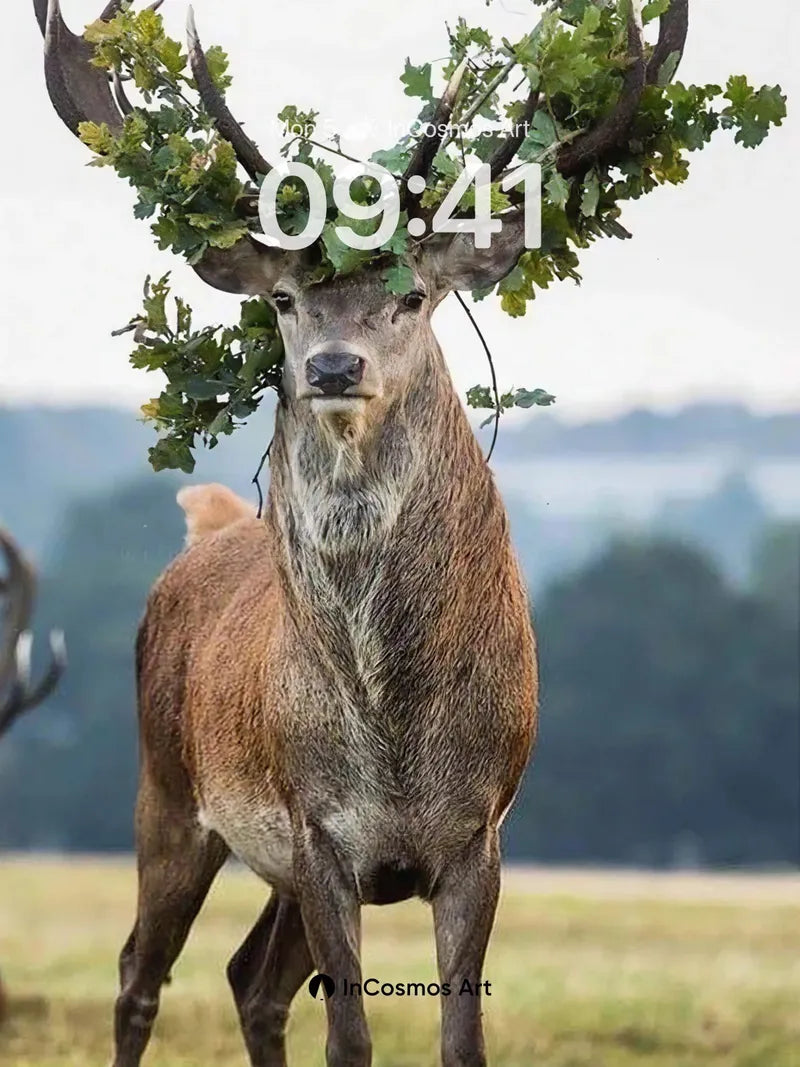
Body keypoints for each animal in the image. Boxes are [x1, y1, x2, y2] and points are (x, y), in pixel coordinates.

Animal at [32, 2, 688, 1065]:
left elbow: (460, 1039)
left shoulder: (478, 832)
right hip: (167, 789)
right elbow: (349, 1037)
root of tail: (203, 535)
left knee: (249, 976)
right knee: (139, 970)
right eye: (284, 299)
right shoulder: (316, 828)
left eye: (412, 294)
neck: (392, 731)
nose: (334, 366)